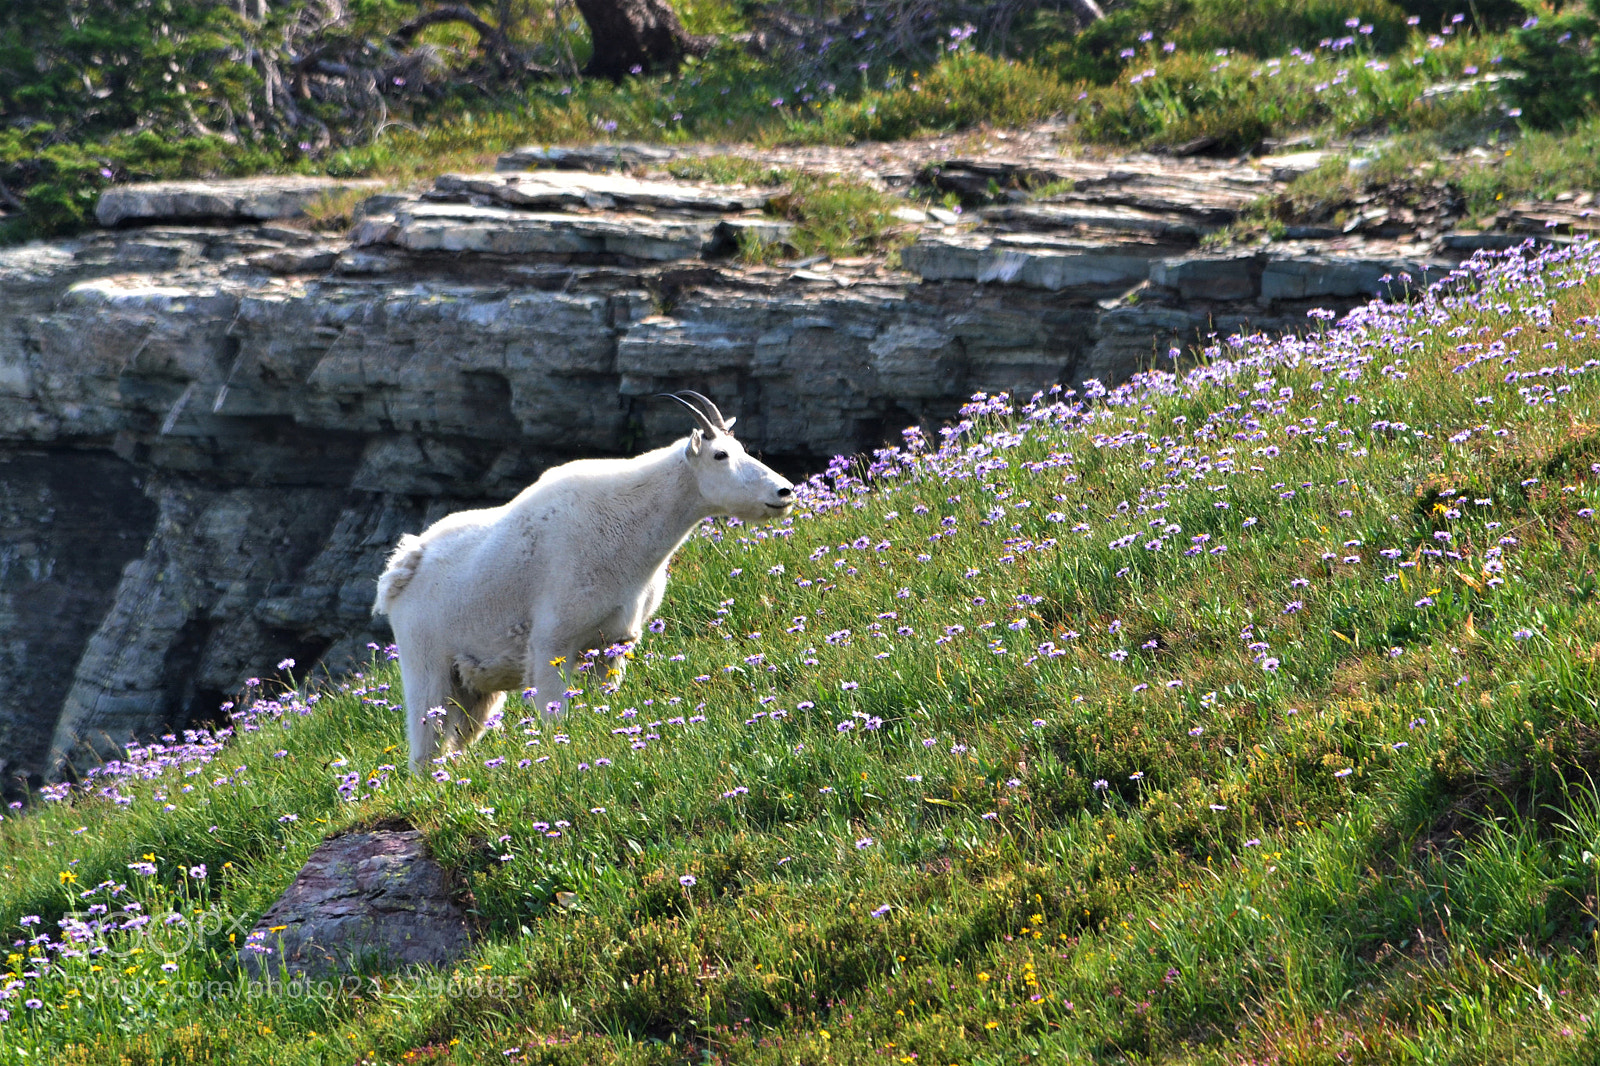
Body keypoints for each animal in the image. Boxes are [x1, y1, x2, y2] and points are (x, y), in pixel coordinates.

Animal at [373, 392, 794, 772]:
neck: (633, 524)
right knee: (425, 742)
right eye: (720, 455)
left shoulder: (613, 643)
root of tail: (401, 569)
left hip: (474, 686)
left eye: (740, 447)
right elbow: (553, 711)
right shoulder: (552, 642)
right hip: (426, 665)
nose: (784, 491)